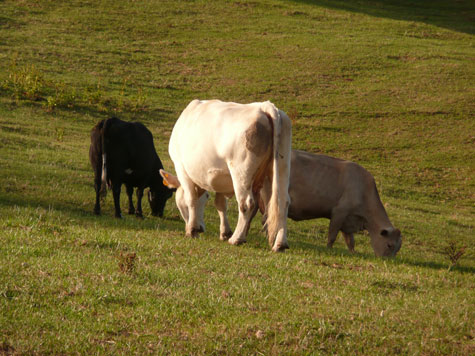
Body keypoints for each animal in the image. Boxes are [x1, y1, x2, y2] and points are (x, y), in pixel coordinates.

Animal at [162, 98, 292, 252]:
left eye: (179, 204)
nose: (201, 228)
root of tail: (264, 106)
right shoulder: (220, 179)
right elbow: (220, 204)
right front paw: (224, 232)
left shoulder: (181, 168)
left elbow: (191, 199)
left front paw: (192, 230)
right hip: (281, 168)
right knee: (283, 202)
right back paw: (280, 244)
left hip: (241, 171)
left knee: (246, 203)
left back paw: (237, 238)